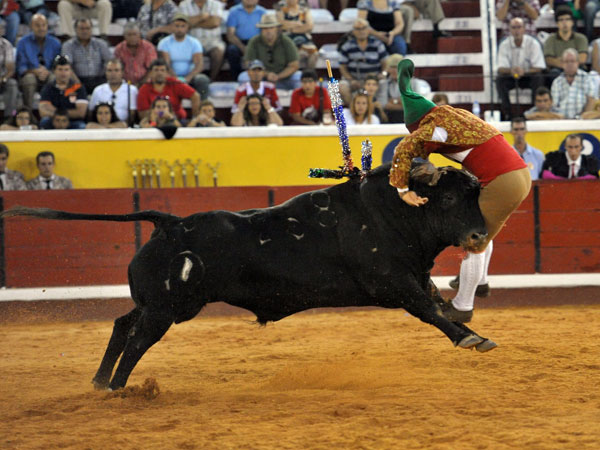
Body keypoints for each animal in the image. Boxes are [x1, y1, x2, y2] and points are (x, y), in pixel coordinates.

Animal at [1, 162, 496, 391]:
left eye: (476, 194)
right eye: (448, 199)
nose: (479, 235)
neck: (396, 212)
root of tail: (170, 222)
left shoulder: (414, 279)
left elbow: (438, 304)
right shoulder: (395, 285)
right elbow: (433, 311)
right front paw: (473, 339)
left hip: (160, 303)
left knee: (124, 324)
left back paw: (101, 383)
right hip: (167, 308)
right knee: (139, 338)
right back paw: (121, 389)